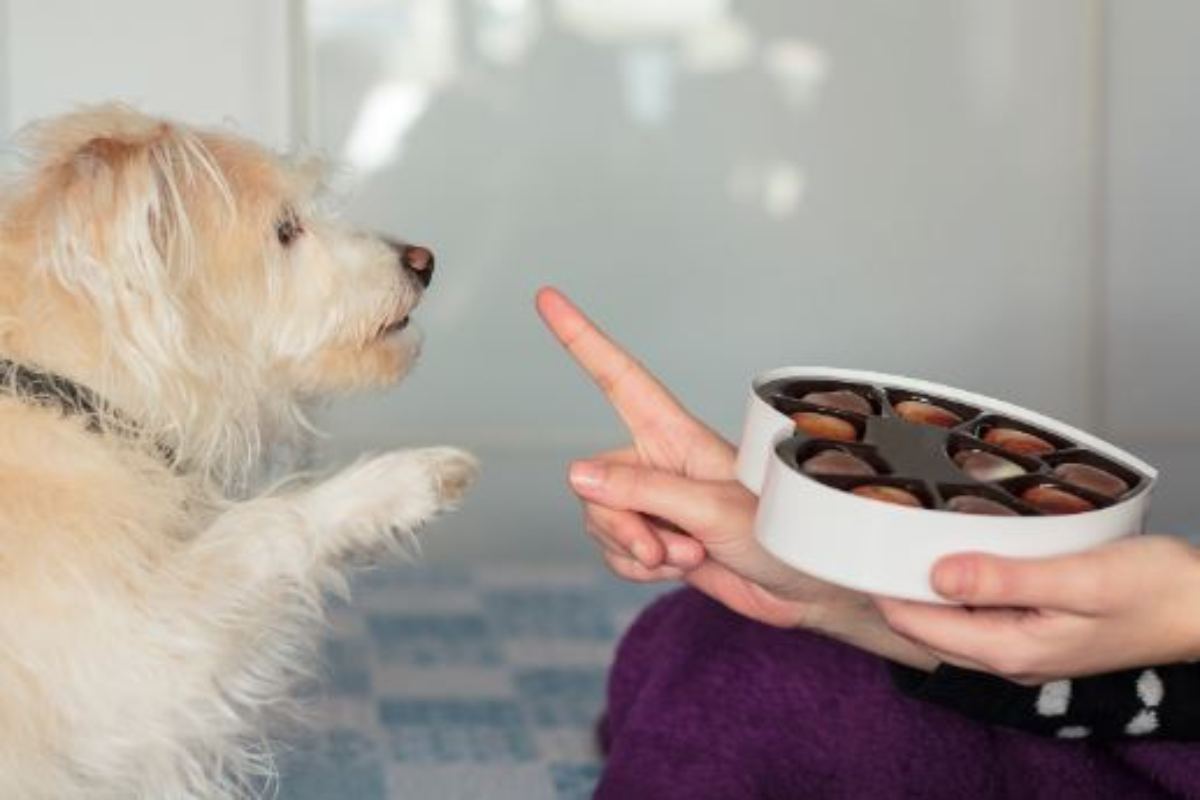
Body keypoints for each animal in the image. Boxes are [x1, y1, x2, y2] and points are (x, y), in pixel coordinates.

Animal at [0, 104, 477, 796]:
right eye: (285, 230)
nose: (424, 260)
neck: (74, 396)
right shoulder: (135, 663)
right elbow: (263, 526)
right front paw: (400, 482)